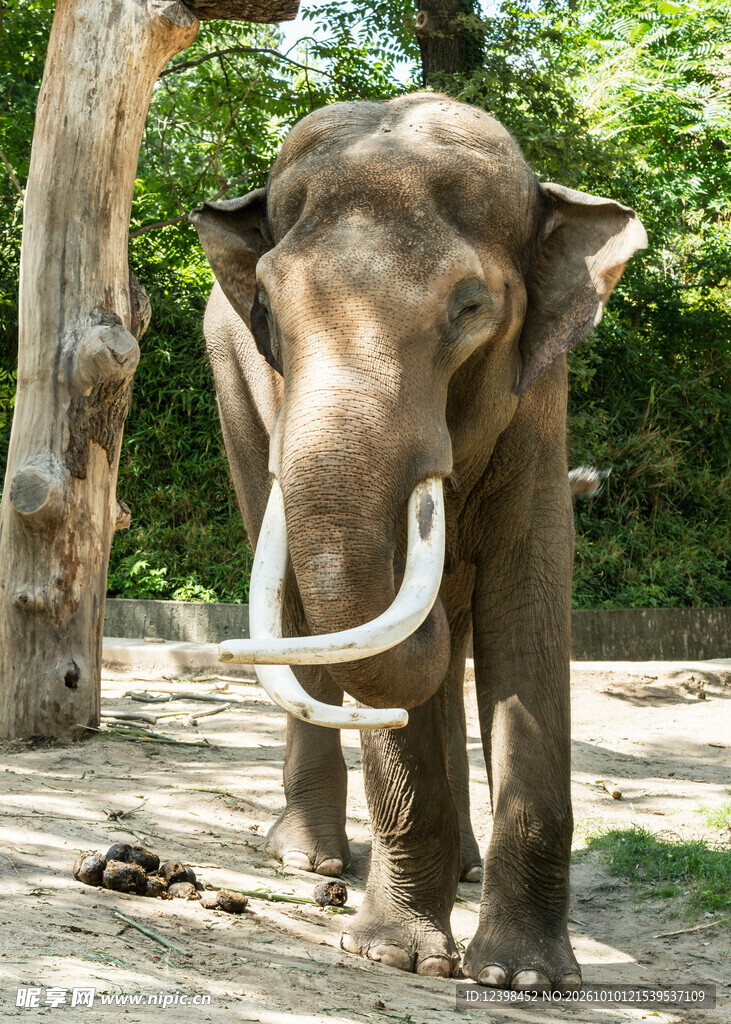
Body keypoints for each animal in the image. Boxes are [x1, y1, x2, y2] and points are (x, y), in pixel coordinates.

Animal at [191, 92, 646, 991]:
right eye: (266, 312)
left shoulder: (539, 403)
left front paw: (525, 979)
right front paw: (393, 953)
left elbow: (524, 607)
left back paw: (460, 867)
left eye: (470, 308)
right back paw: (311, 862)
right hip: (233, 402)